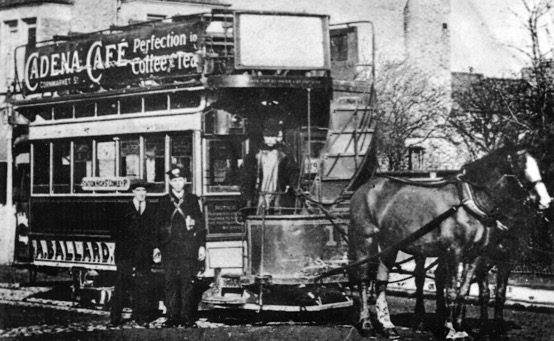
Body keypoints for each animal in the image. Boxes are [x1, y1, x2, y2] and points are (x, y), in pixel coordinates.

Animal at [348, 145, 548, 338]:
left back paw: (387, 325)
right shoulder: (455, 252)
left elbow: (464, 291)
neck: (468, 202)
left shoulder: (475, 255)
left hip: (389, 246)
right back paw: (366, 324)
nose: (545, 201)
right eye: (520, 165)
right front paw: (453, 330)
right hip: (364, 240)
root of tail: (364, 188)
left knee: (381, 280)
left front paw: (460, 327)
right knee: (363, 280)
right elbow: (452, 291)